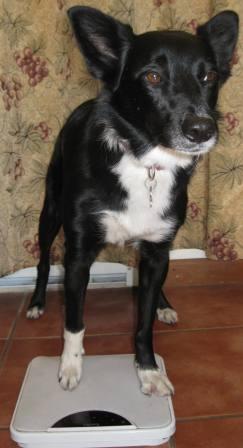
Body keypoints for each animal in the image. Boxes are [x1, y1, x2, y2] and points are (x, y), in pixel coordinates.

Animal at [26, 5, 237, 394]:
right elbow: (74, 322)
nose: (202, 130)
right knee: (45, 261)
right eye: (152, 76)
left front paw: (149, 369)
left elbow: (143, 322)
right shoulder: (79, 254)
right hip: (50, 213)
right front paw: (70, 367)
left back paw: (164, 306)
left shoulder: (156, 251)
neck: (146, 164)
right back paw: (36, 303)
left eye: (209, 75)